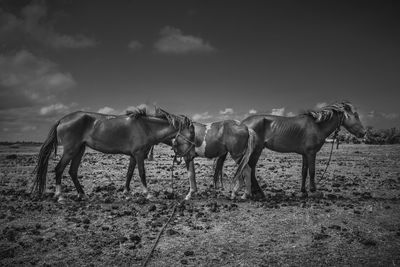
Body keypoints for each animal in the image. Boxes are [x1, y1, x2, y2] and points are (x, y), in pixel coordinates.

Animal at [32, 107, 197, 203]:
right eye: (192, 133)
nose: (192, 154)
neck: (146, 127)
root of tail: (62, 120)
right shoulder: (138, 155)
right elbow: (142, 173)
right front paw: (148, 194)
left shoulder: (133, 155)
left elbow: (129, 173)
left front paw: (126, 193)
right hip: (70, 150)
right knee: (59, 169)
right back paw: (60, 196)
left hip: (79, 150)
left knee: (72, 171)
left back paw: (82, 195)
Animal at [216, 101, 366, 198]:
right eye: (356, 115)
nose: (363, 133)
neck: (317, 126)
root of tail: (242, 124)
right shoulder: (311, 153)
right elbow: (312, 171)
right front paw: (314, 191)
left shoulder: (305, 154)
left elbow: (304, 172)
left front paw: (303, 191)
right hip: (256, 151)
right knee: (250, 170)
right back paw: (258, 192)